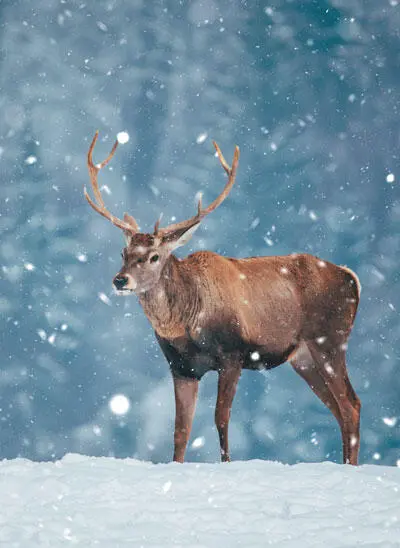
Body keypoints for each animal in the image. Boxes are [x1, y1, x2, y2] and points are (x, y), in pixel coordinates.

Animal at [84, 131, 362, 464]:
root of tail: (351, 278)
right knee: (338, 408)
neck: (185, 324)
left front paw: (226, 463)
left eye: (153, 256)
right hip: (304, 357)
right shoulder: (181, 367)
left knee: (351, 405)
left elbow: (221, 418)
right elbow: (180, 430)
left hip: (330, 339)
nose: (120, 279)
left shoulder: (233, 354)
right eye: (123, 253)